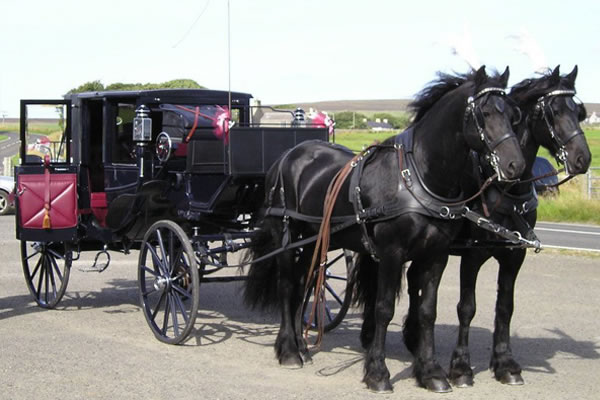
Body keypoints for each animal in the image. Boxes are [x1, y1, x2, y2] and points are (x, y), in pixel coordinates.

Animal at [244, 66, 524, 394]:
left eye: (514, 115)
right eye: (486, 112)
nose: (515, 165)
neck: (417, 178)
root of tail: (288, 156)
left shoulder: (436, 255)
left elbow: (427, 311)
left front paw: (431, 372)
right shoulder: (392, 253)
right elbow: (383, 309)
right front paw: (378, 373)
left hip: (316, 240)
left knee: (303, 282)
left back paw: (301, 346)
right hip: (286, 234)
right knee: (288, 285)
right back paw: (288, 350)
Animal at [442, 65, 592, 388]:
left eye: (579, 111)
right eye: (553, 111)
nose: (583, 158)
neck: (505, 190)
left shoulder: (514, 255)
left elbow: (505, 307)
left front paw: (506, 364)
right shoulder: (472, 255)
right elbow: (467, 307)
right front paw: (460, 368)